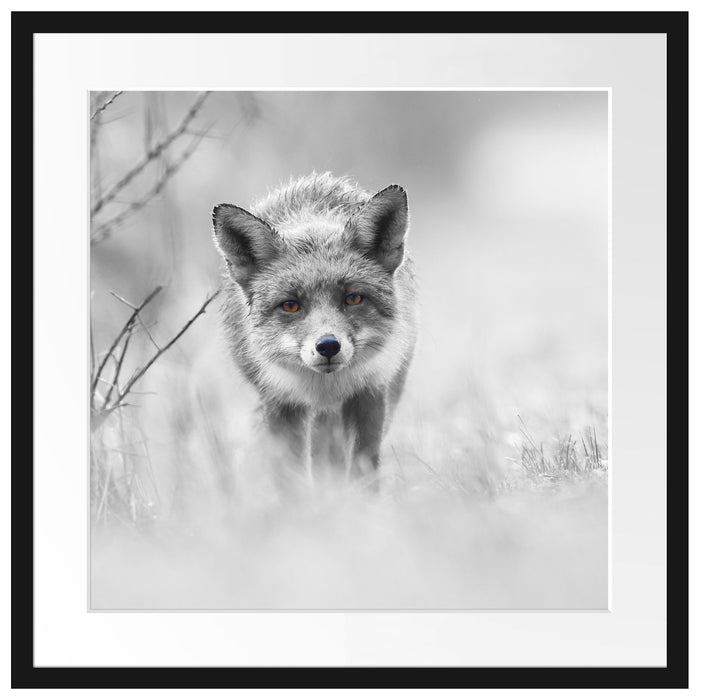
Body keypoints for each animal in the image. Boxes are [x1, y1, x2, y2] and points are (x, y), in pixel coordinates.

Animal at [212, 172, 418, 481]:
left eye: (353, 298)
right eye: (290, 305)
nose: (328, 346)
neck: (325, 388)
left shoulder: (370, 393)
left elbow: (363, 471)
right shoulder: (280, 402)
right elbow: (291, 478)